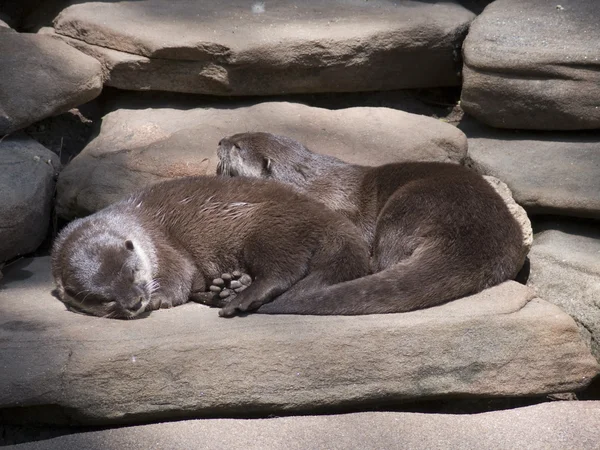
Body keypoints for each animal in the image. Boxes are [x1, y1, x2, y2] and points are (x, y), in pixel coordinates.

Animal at [51, 174, 370, 318]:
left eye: (133, 273)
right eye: (104, 298)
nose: (135, 302)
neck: (140, 227)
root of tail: (329, 218)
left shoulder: (165, 248)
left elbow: (179, 276)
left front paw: (158, 298)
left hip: (269, 229)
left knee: (283, 270)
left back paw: (241, 297)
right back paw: (228, 288)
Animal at [216, 130, 524, 312]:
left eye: (237, 146)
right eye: (237, 135)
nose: (219, 141)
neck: (314, 186)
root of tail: (473, 240)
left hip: (407, 206)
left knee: (384, 260)